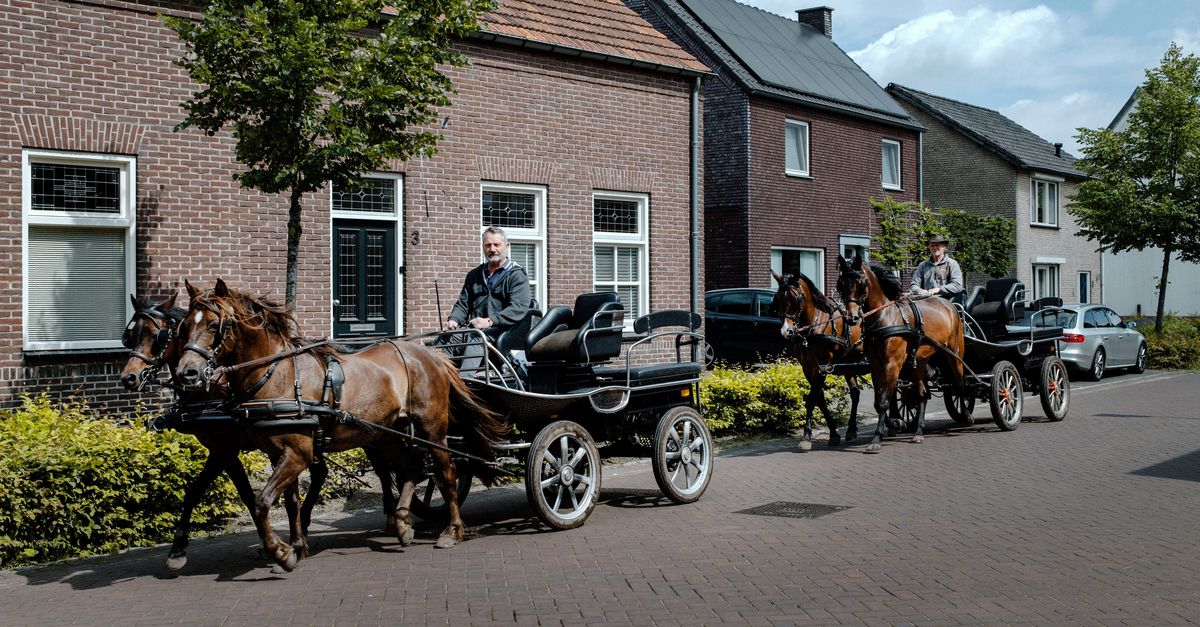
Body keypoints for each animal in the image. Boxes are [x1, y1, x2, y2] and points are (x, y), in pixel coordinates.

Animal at [120, 293, 398, 571]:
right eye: (130, 335)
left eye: (157, 336)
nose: (128, 377)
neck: (212, 392)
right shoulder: (225, 451)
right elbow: (200, 493)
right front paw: (179, 549)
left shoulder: (225, 450)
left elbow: (225, 493)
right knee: (334, 473)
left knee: (381, 470)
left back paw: (390, 517)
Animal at [171, 277, 504, 566]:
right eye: (184, 327)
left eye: (213, 325)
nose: (187, 373)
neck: (279, 375)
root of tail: (435, 356)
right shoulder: (280, 453)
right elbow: (290, 502)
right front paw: (297, 546)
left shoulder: (292, 453)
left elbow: (261, 502)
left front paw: (281, 552)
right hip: (389, 435)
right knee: (413, 468)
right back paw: (401, 523)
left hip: (432, 430)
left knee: (446, 472)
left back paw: (452, 530)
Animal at [768, 270, 864, 446]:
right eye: (777, 299)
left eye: (796, 298)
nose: (786, 331)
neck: (814, 325)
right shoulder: (808, 368)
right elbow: (819, 399)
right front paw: (833, 433)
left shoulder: (823, 367)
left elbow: (812, 399)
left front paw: (806, 435)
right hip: (849, 365)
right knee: (855, 393)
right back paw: (852, 430)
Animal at [840, 251, 969, 451]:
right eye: (841, 284)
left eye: (861, 283)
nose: (851, 317)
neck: (884, 318)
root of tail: (951, 307)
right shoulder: (876, 366)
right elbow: (878, 401)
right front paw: (895, 424)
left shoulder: (892, 365)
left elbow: (884, 401)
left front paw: (877, 438)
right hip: (919, 362)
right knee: (923, 394)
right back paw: (918, 432)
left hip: (954, 355)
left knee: (960, 384)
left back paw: (967, 416)